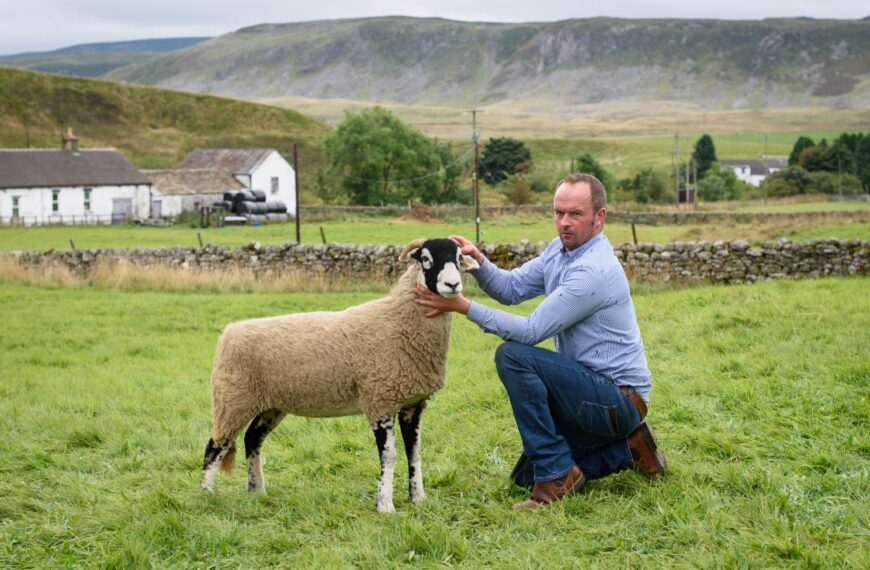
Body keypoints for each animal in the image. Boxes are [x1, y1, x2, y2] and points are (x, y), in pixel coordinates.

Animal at [200, 238, 479, 512]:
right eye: (425, 259)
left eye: (458, 258)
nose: (452, 285)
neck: (396, 320)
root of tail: (228, 333)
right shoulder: (379, 400)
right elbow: (389, 456)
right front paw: (385, 506)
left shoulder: (413, 403)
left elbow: (415, 452)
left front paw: (418, 499)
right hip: (233, 398)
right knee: (215, 446)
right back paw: (207, 495)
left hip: (271, 404)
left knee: (252, 439)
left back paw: (257, 491)